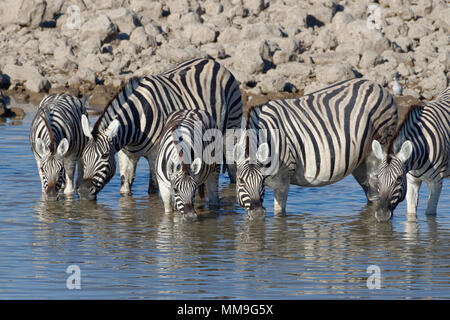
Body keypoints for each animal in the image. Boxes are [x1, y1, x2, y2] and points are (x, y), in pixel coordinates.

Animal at [79, 56, 244, 199]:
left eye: (104, 155)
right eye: (84, 156)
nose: (84, 192)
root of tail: (213, 62)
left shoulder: (156, 155)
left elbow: (152, 189)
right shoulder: (125, 155)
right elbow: (125, 188)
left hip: (231, 127)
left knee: (232, 167)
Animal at [232, 78, 398, 220]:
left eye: (261, 179)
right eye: (240, 180)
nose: (258, 214)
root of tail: (377, 85)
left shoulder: (284, 179)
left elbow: (280, 213)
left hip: (380, 147)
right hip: (362, 160)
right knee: (373, 193)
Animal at [370, 87, 448, 222]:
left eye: (399, 179)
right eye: (378, 178)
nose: (381, 215)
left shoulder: (436, 182)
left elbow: (430, 215)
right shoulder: (412, 182)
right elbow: (411, 214)